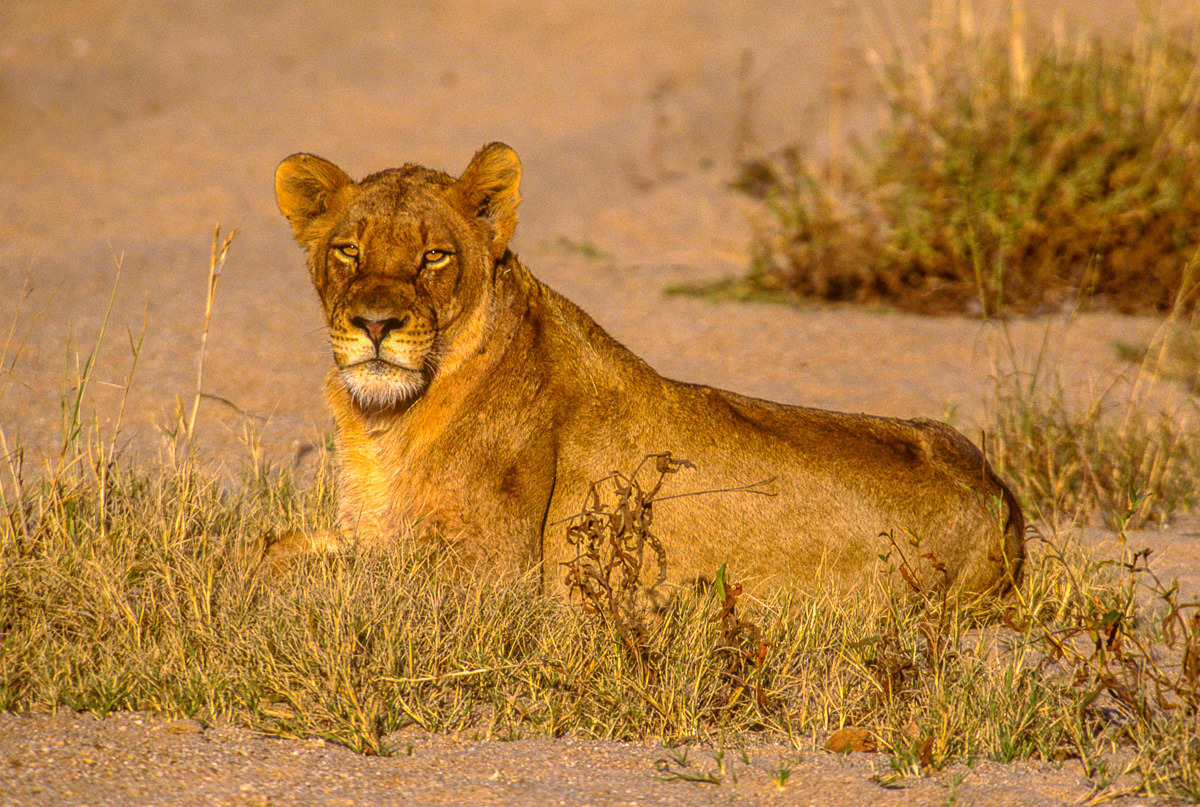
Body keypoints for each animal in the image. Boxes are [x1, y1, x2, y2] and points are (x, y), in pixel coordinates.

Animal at [270, 142, 1024, 599]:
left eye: (433, 257)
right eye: (347, 251)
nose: (374, 324)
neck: (385, 420)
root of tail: (1003, 499)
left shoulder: (490, 576)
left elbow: (300, 572)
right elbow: (275, 545)